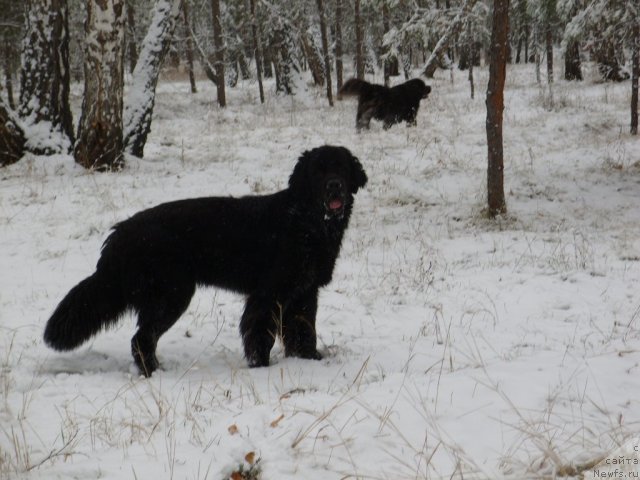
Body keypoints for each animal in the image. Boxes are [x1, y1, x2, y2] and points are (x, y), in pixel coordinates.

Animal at [43, 144, 364, 376]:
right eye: (317, 171)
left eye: (341, 167)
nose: (334, 186)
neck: (307, 222)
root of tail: (121, 233)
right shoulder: (267, 294)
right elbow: (260, 333)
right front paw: (261, 367)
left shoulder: (304, 292)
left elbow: (304, 331)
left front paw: (309, 360)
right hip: (170, 295)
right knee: (141, 339)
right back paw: (154, 373)